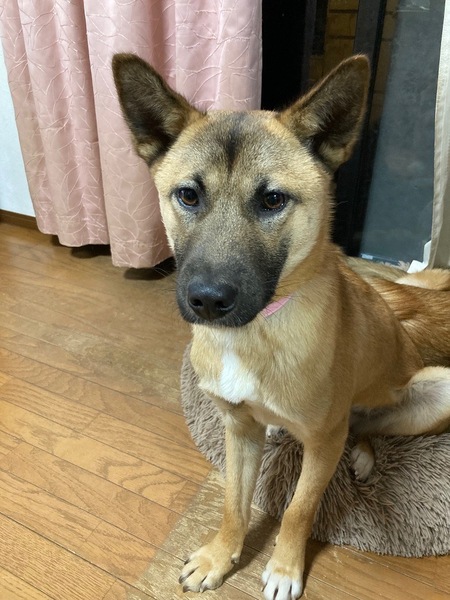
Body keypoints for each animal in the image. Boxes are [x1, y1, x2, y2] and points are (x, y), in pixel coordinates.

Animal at [113, 54, 450, 599]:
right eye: (188, 196)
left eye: (272, 201)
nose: (207, 301)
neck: (253, 333)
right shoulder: (237, 431)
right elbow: (233, 503)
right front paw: (220, 556)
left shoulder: (321, 443)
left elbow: (298, 508)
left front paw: (286, 567)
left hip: (432, 391)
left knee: (362, 426)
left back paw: (363, 456)